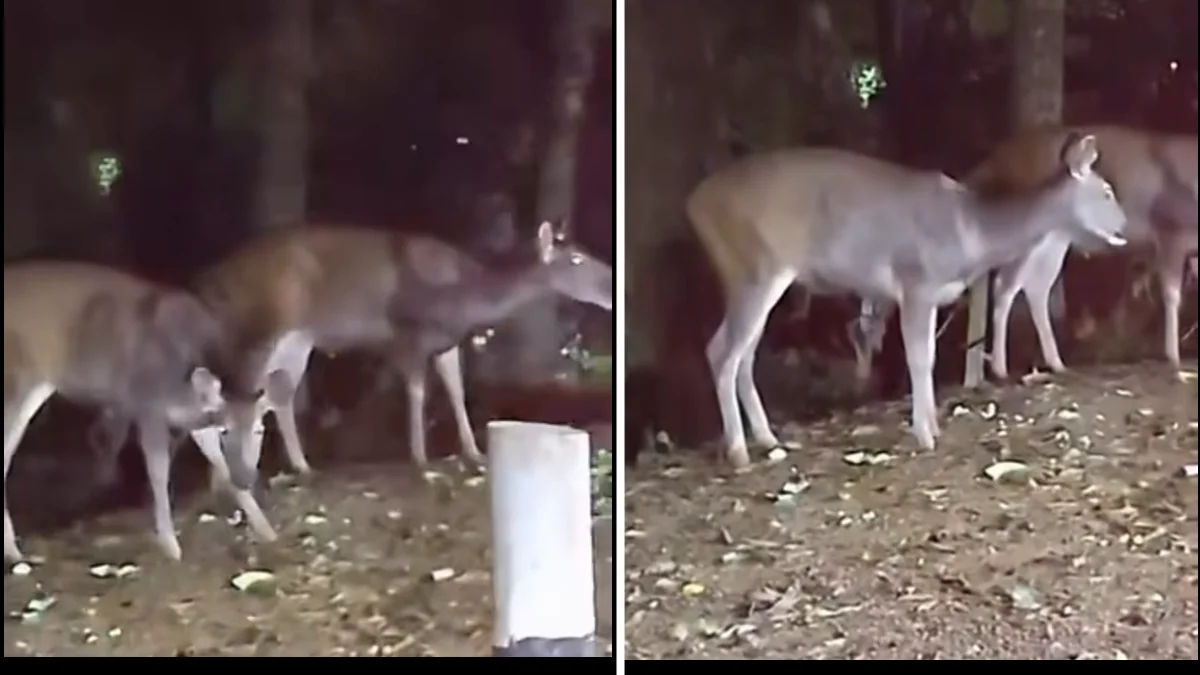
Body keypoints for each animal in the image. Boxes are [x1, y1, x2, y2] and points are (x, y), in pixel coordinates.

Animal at [3, 262, 276, 563]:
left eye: (260, 429)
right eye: (226, 429)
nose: (246, 478)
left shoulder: (195, 415)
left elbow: (217, 460)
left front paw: (265, 528)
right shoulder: (146, 403)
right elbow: (158, 471)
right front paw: (170, 544)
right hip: (16, 379)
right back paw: (13, 550)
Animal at [169, 219, 611, 498]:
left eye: (585, 251)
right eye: (575, 259)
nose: (610, 286)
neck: (462, 299)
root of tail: (208, 282)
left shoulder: (446, 341)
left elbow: (455, 389)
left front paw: (474, 451)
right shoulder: (406, 335)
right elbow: (417, 391)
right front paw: (420, 458)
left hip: (299, 338)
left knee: (277, 395)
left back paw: (300, 466)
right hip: (259, 329)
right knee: (235, 395)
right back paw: (225, 480)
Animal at [686, 132, 1128, 468]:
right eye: (1107, 191)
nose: (1124, 226)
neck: (970, 234)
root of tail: (695, 207)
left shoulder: (931, 294)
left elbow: (928, 356)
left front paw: (933, 425)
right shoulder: (915, 281)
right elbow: (918, 358)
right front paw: (924, 434)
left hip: (753, 277)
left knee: (742, 353)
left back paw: (767, 439)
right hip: (755, 266)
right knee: (721, 351)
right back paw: (740, 452)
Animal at [846, 126, 1198, 385]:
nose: (1122, 225)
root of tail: (988, 165)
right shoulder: (1171, 229)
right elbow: (1172, 293)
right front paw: (1173, 356)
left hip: (1054, 237)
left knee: (1030, 287)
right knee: (1006, 286)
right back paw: (1001, 368)